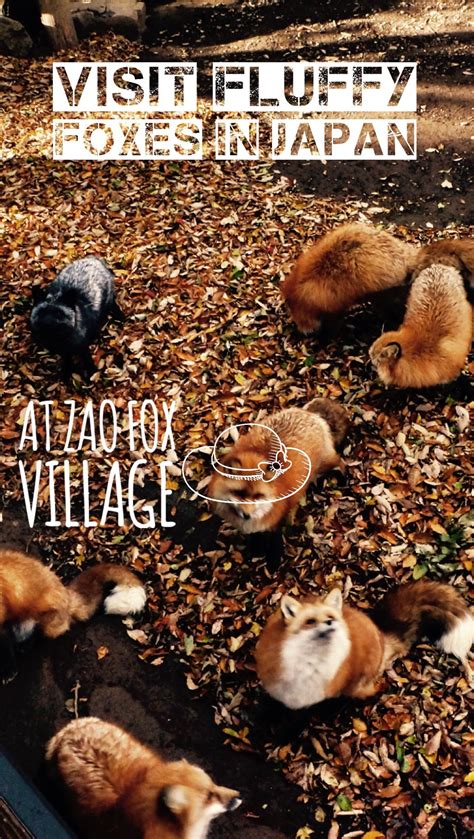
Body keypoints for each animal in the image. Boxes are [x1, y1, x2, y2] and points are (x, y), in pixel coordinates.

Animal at [0, 548, 146, 685]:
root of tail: (66, 592)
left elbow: (7, 653)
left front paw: (8, 672)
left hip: (42, 622)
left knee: (42, 634)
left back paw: (26, 645)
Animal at [208, 399, 349, 561]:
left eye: (258, 496)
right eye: (240, 493)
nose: (247, 515)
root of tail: (309, 413)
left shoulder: (276, 521)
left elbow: (276, 545)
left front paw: (274, 562)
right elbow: (255, 539)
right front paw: (256, 550)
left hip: (326, 462)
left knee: (340, 462)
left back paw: (343, 479)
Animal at [255, 581, 474, 710]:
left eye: (330, 617)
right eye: (310, 621)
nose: (330, 623)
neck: (305, 667)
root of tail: (380, 632)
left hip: (359, 686)